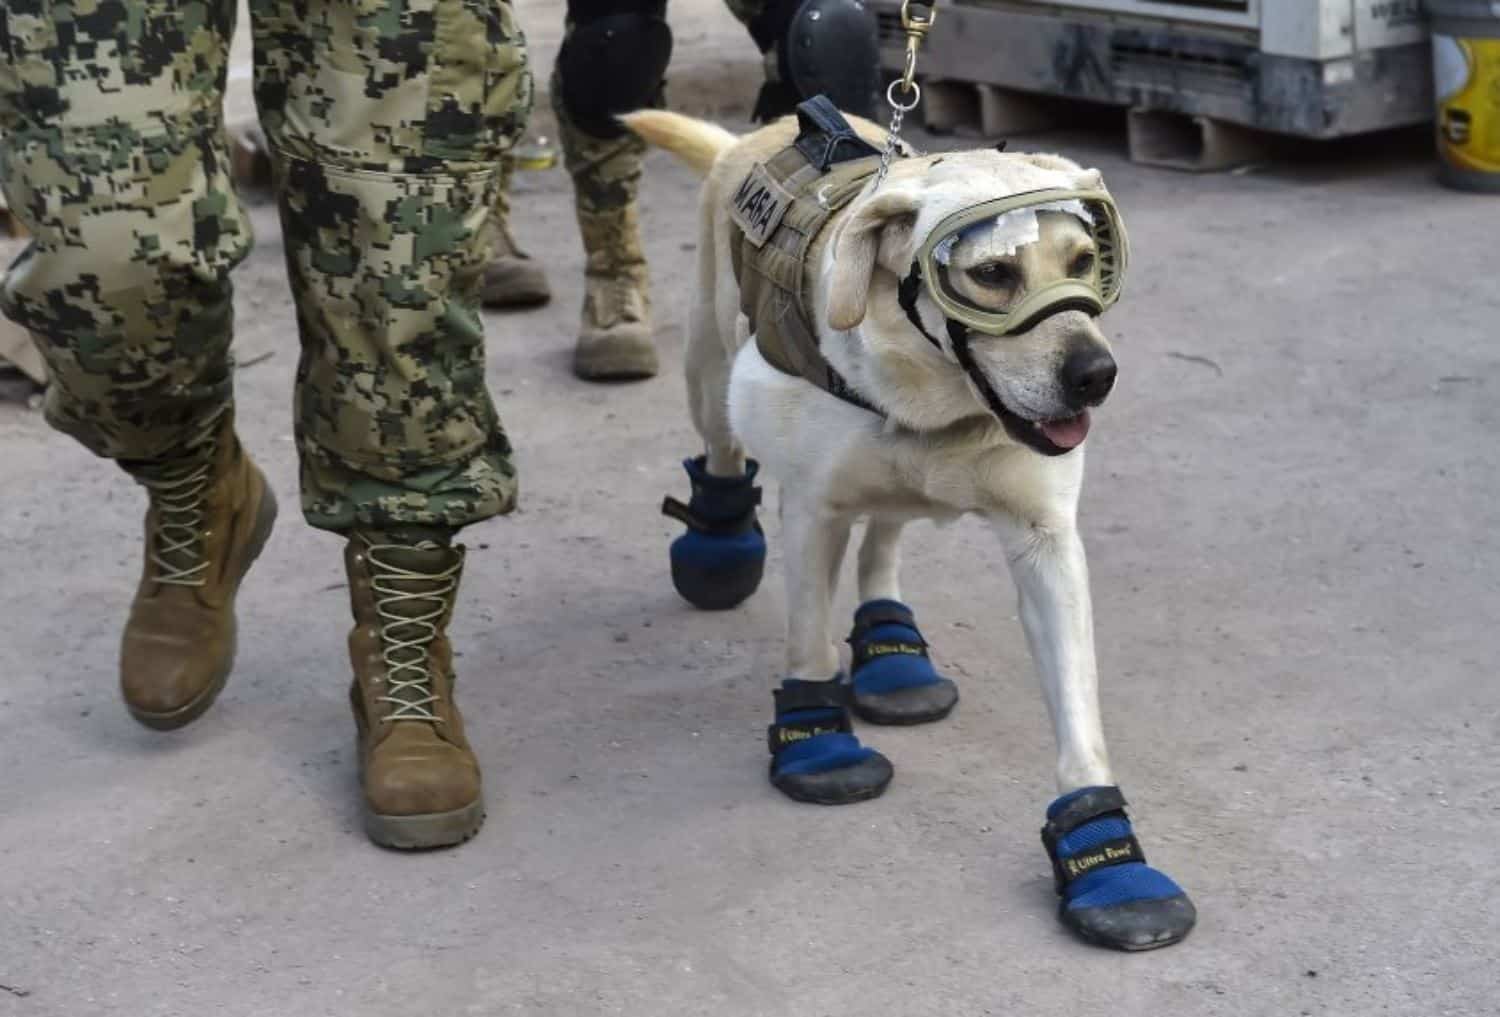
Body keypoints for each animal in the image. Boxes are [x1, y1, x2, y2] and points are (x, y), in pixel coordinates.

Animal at [630, 105, 1194, 954]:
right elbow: (808, 643)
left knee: (885, 539)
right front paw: (816, 740)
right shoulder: (813, 508)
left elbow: (1078, 716)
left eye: (1084, 259)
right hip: (708, 369)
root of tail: (759, 131)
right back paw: (719, 544)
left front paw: (1109, 859)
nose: (1097, 375)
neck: (939, 398)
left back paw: (892, 648)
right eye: (991, 275)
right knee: (724, 447)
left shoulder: (1046, 544)